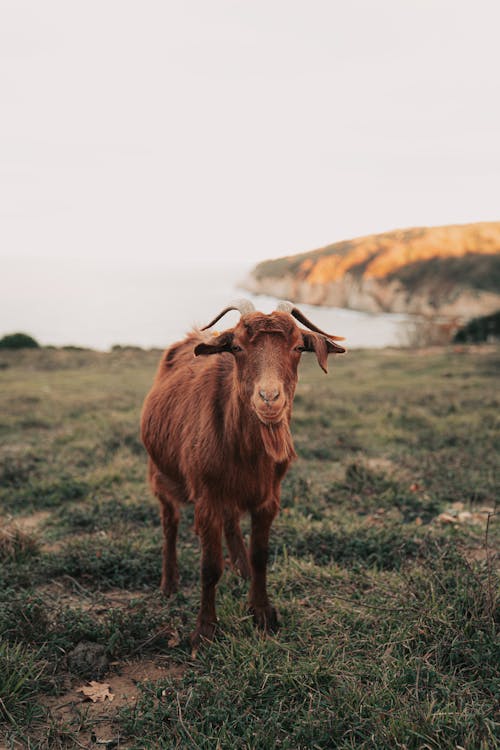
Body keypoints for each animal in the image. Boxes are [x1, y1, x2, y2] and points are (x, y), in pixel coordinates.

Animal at [140, 298, 344, 648]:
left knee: (231, 519)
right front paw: (205, 630)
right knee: (170, 523)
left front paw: (262, 612)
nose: (269, 398)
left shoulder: (269, 496)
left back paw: (241, 567)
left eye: (297, 347)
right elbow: (210, 566)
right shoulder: (206, 496)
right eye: (236, 347)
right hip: (160, 474)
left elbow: (260, 554)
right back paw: (169, 583)